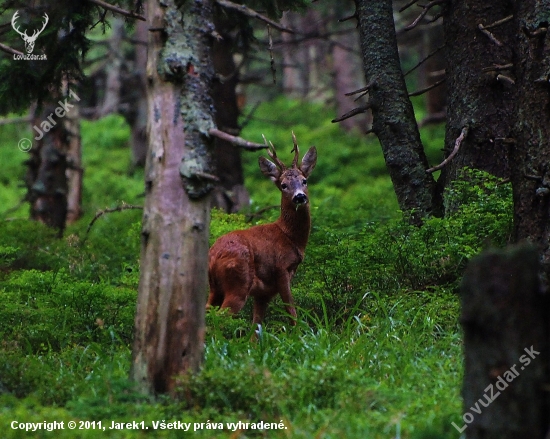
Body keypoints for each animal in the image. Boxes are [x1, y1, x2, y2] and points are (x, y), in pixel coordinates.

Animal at [208, 134, 320, 326]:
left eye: (304, 181)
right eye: (283, 185)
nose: (299, 196)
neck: (289, 236)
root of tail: (214, 256)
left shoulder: (263, 292)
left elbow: (257, 325)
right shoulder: (281, 269)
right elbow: (291, 311)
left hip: (213, 289)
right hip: (238, 283)